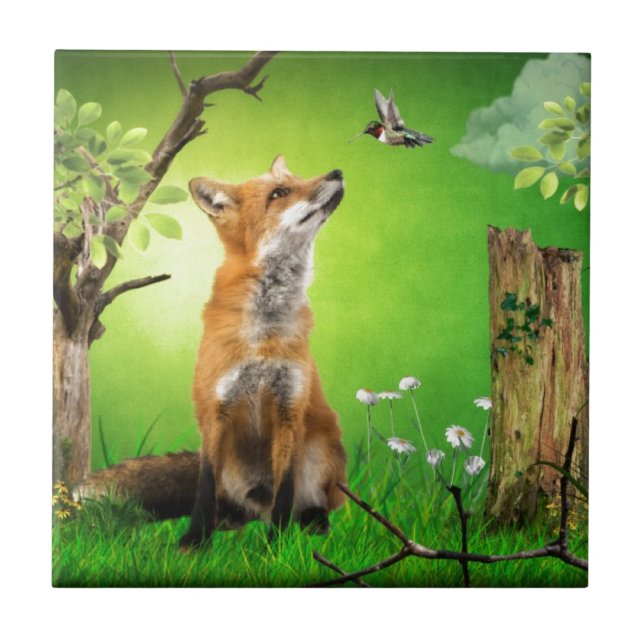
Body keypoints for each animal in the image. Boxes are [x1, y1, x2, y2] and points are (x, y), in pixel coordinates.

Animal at [176, 156, 347, 548]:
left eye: (298, 177)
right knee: (236, 504)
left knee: (312, 503)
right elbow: (204, 487)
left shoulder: (289, 409)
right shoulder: (216, 409)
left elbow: (285, 491)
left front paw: (278, 547)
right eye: (279, 193)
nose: (337, 172)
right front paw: (195, 542)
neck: (263, 339)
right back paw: (229, 520)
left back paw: (311, 524)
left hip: (321, 452)